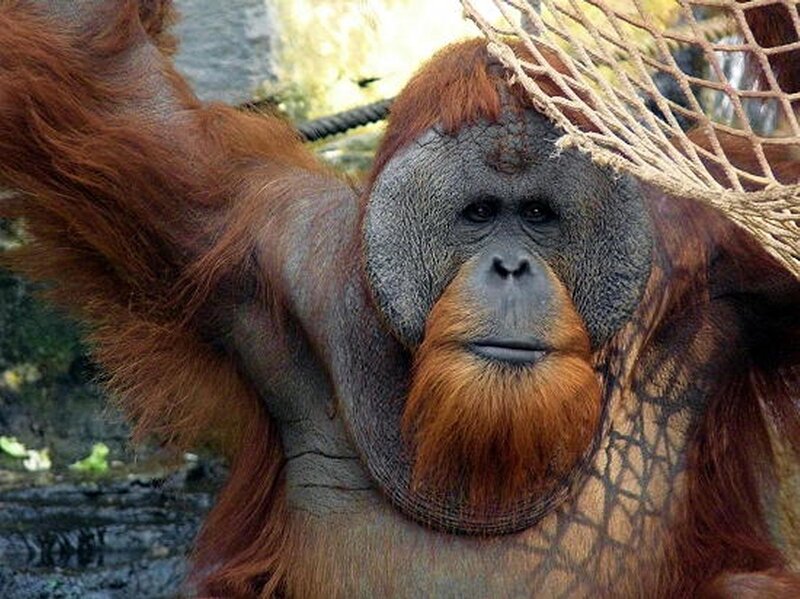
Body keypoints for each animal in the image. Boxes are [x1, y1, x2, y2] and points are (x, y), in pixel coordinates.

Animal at [0, 1, 798, 597]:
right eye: (479, 213)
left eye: (539, 215)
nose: (511, 265)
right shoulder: (253, 237)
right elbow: (102, 67)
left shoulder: (717, 260)